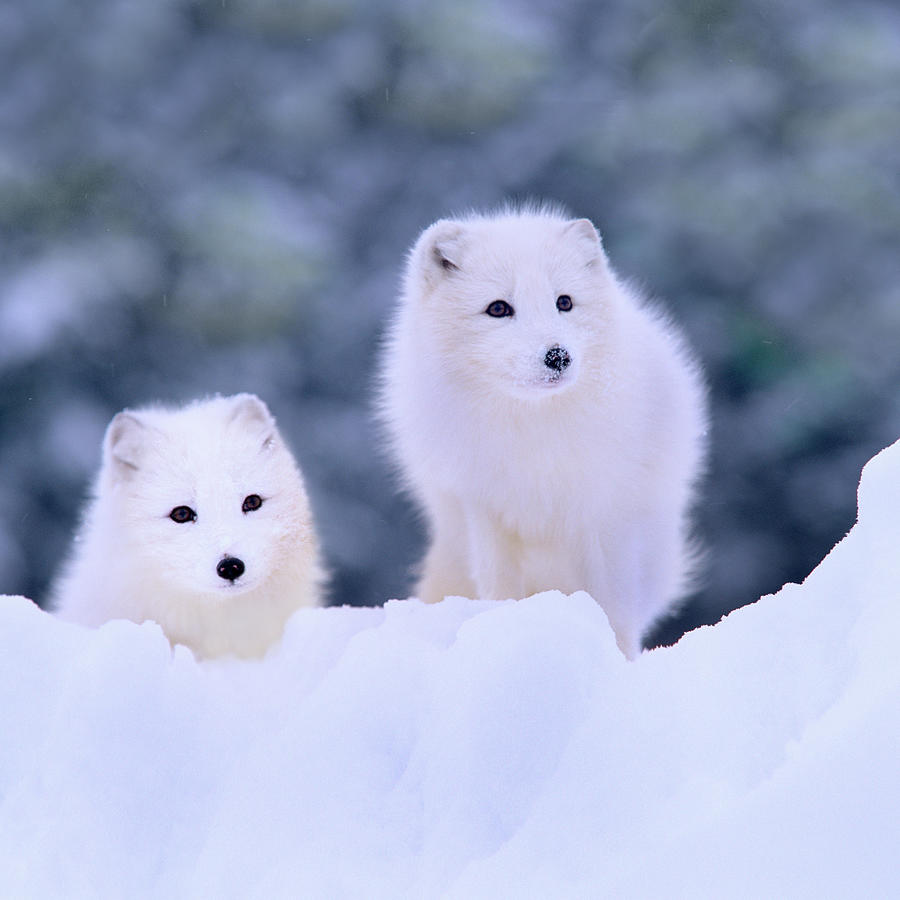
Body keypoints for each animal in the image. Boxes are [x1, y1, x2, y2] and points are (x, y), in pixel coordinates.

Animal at [376, 204, 708, 656]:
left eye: (563, 302)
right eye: (498, 308)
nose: (557, 356)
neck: (533, 435)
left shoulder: (604, 515)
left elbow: (613, 607)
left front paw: (618, 658)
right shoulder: (486, 510)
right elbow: (499, 589)